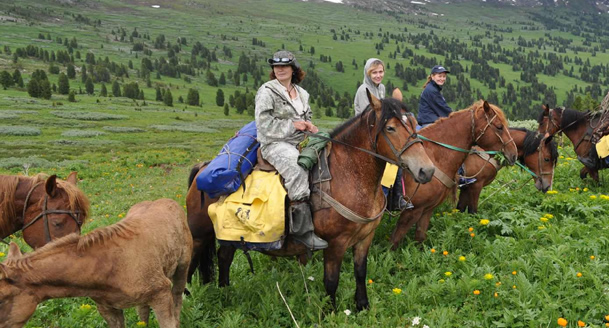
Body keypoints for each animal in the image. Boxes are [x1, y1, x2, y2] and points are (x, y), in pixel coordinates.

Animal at [0, 197, 192, 328]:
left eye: (1, 299)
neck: (109, 266)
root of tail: (169, 202)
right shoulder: (107, 308)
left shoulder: (161, 294)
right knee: (143, 311)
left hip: (182, 267)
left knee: (177, 297)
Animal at [188, 91, 434, 312]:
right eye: (390, 128)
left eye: (414, 124)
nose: (427, 170)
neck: (349, 175)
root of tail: (202, 168)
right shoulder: (336, 244)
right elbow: (331, 281)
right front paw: (331, 312)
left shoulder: (365, 237)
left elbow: (360, 272)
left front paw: (362, 307)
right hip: (199, 236)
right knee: (189, 265)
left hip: (228, 236)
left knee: (224, 258)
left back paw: (225, 293)